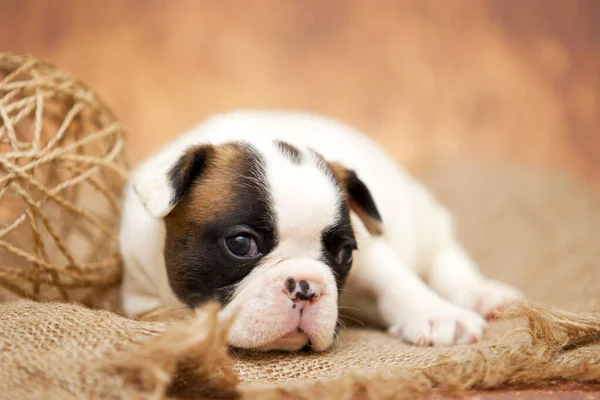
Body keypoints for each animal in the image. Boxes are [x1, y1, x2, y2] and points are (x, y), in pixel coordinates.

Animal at [119, 109, 524, 350]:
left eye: (344, 253)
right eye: (241, 244)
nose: (306, 287)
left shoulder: (372, 249)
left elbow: (396, 278)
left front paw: (436, 314)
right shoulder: (139, 292)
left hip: (427, 220)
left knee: (445, 255)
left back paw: (479, 293)